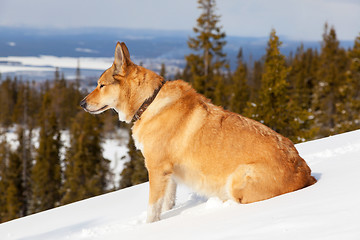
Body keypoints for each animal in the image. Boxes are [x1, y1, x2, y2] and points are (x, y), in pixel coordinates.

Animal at [80, 41, 316, 223]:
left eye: (101, 85)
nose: (81, 104)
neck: (148, 102)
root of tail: (305, 172)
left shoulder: (156, 169)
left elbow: (152, 208)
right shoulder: (169, 175)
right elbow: (167, 203)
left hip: (238, 178)